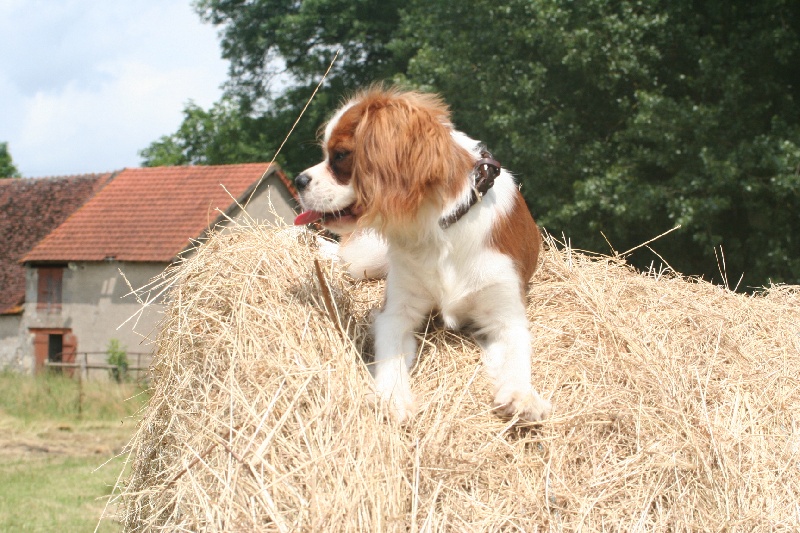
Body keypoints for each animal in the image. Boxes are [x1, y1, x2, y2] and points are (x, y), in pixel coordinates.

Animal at [292, 85, 552, 422]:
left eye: (340, 155)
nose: (298, 180)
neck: (439, 226)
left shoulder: (506, 311)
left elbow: (518, 352)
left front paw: (522, 395)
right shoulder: (396, 313)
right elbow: (390, 353)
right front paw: (392, 396)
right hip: (367, 259)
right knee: (342, 254)